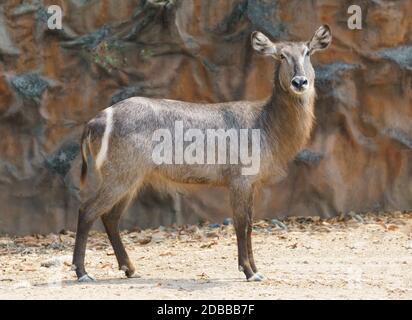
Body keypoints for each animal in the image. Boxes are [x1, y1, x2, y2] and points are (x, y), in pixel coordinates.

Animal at [73, 25, 332, 282]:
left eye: (308, 52)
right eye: (281, 55)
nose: (300, 81)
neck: (266, 126)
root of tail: (94, 121)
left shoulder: (251, 183)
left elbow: (250, 224)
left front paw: (257, 270)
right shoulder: (238, 179)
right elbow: (241, 224)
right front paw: (249, 272)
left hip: (132, 178)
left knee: (110, 217)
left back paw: (129, 268)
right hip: (120, 174)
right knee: (87, 210)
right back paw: (83, 272)